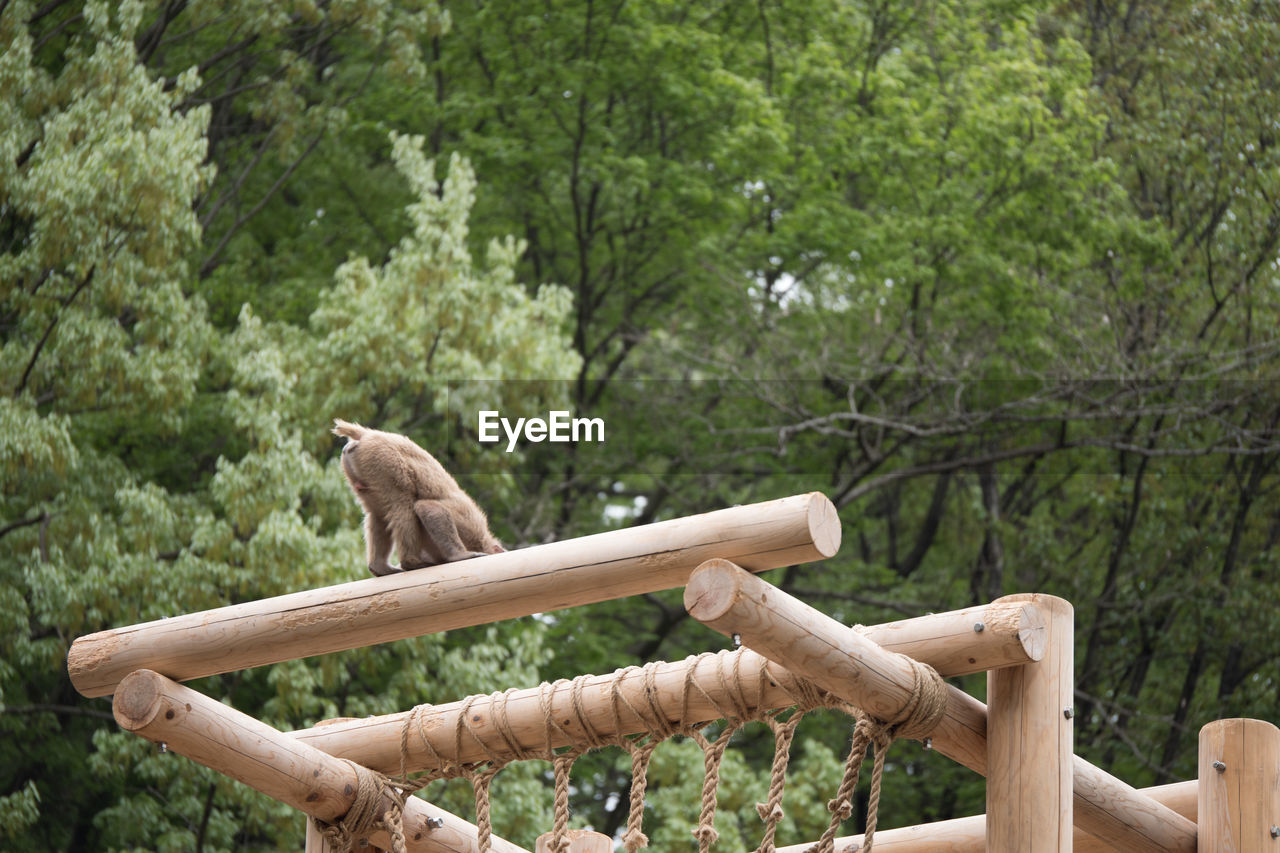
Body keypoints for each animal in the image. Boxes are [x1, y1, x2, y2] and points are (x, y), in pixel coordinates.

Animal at [330, 417, 504, 578]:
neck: (482, 540)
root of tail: (368, 434)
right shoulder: (469, 523)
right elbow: (428, 507)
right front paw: (459, 555)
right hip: (381, 457)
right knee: (402, 502)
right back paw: (411, 562)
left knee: (378, 513)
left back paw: (379, 567)